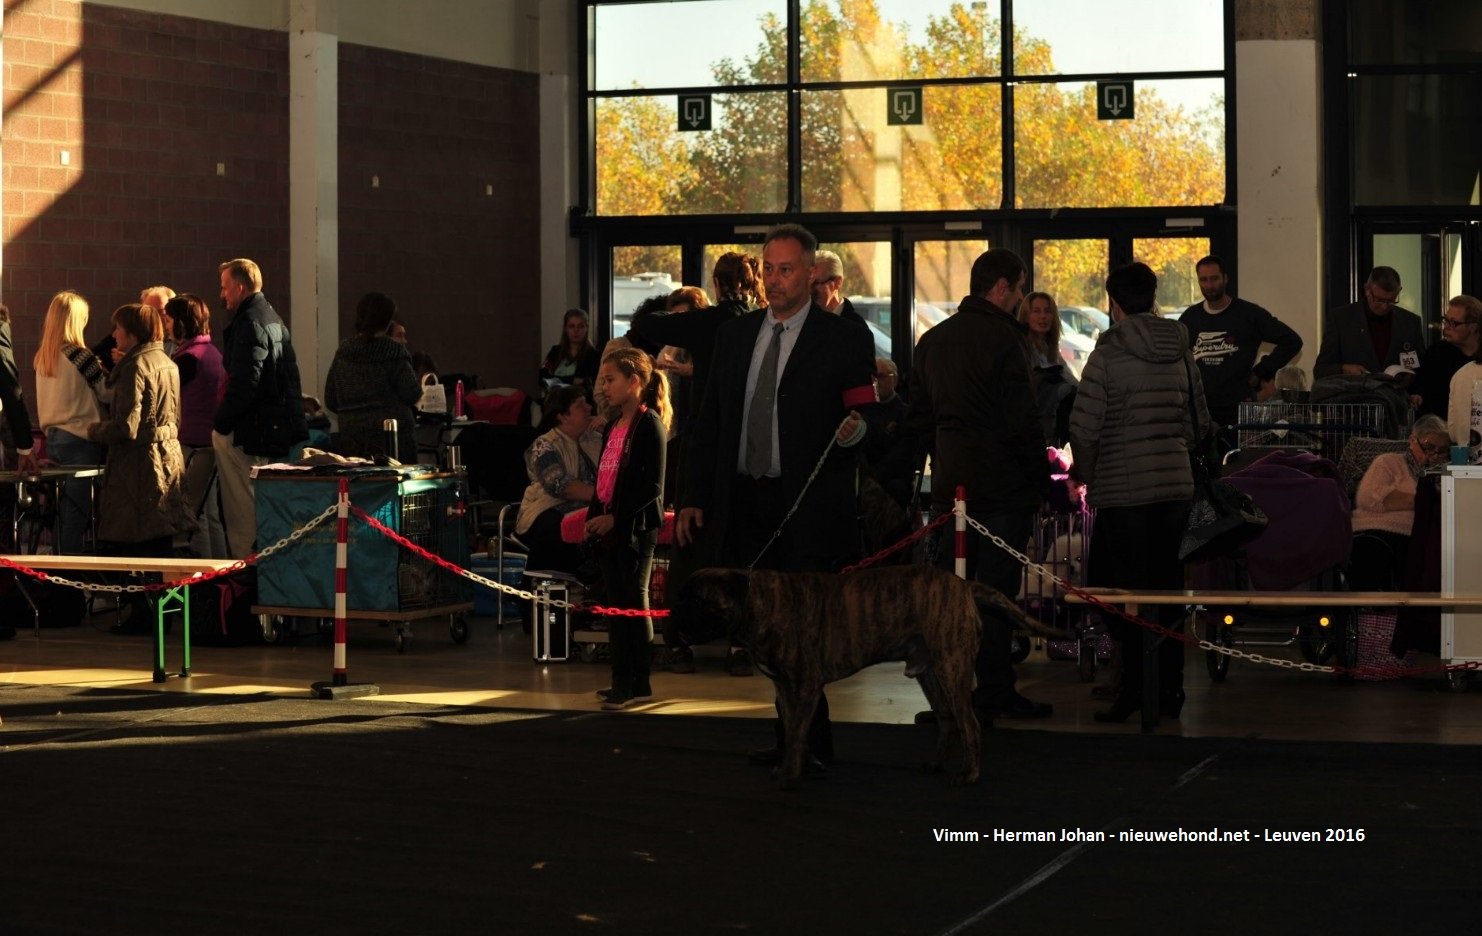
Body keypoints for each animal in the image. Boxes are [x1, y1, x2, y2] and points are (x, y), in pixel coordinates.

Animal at [678, 562, 1061, 787]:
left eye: (698, 602)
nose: (674, 617)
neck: (759, 602)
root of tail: (964, 585)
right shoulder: (785, 689)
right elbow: (792, 729)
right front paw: (801, 763)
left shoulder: (804, 686)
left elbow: (798, 729)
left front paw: (788, 773)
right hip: (930, 674)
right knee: (947, 719)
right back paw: (936, 765)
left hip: (952, 667)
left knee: (969, 723)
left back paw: (968, 773)